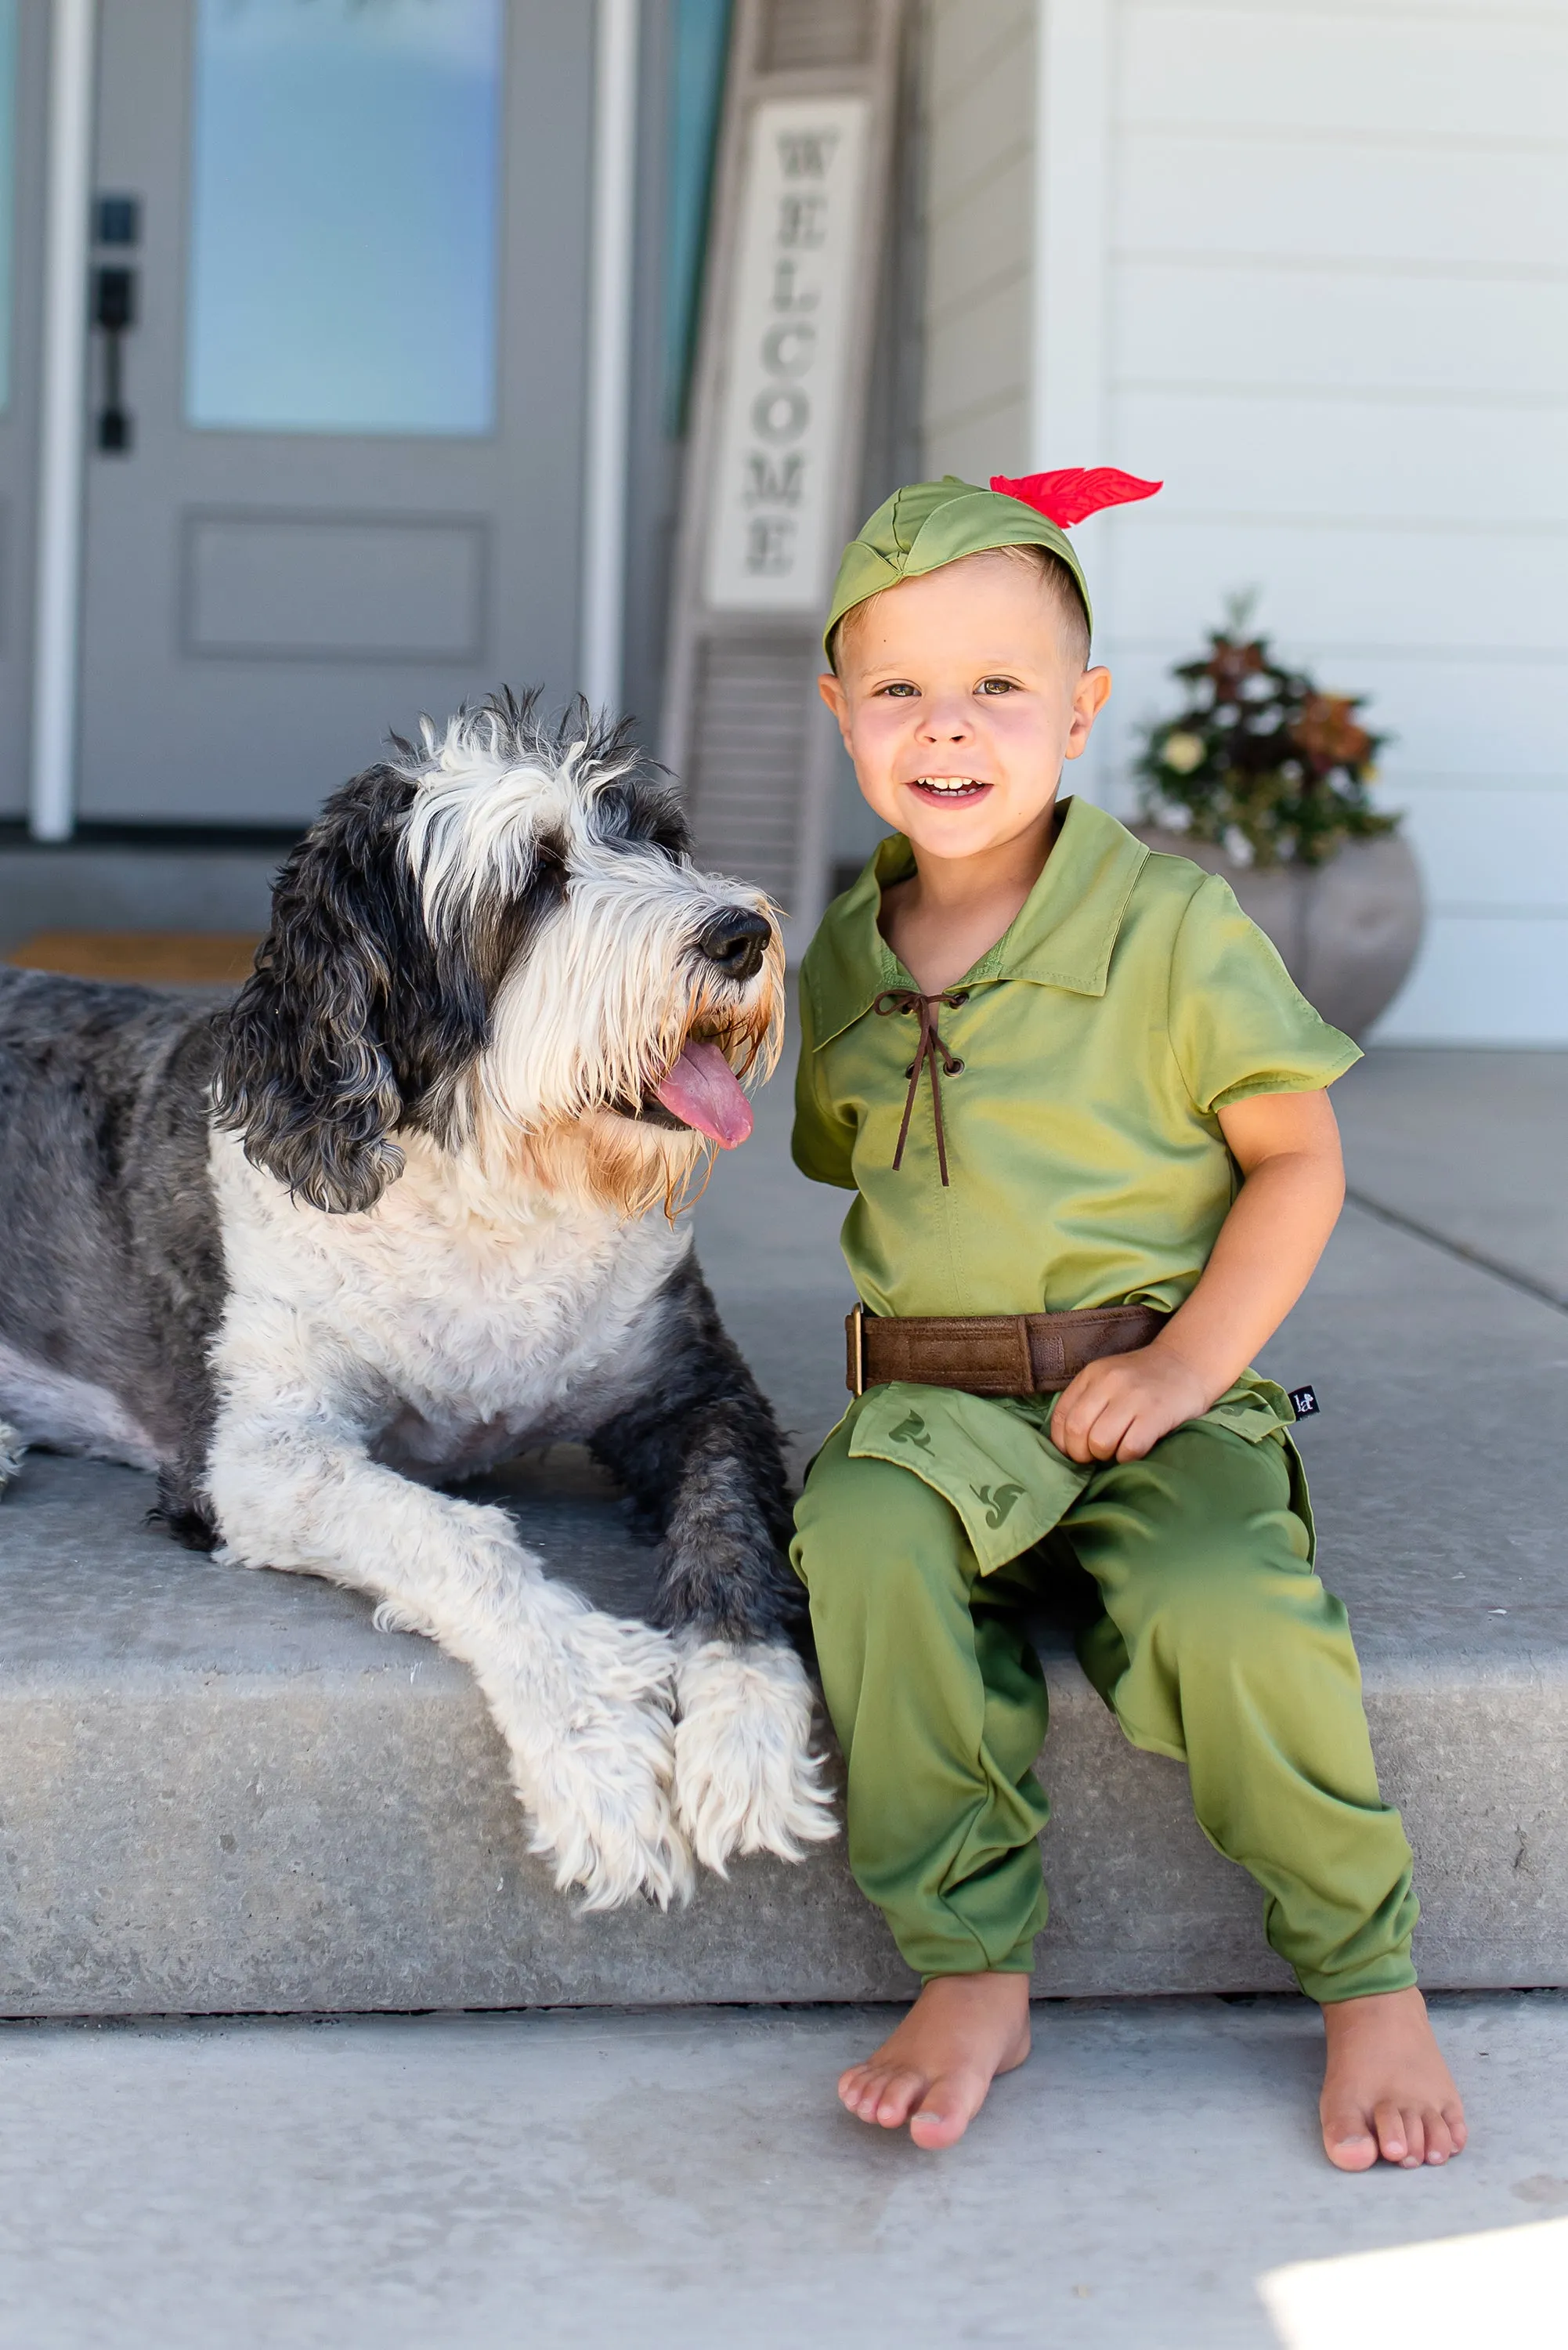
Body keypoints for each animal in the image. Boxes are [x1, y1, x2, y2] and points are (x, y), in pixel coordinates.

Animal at [0, 691, 841, 1908]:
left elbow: (731, 1523)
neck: (494, 1187)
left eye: (662, 840)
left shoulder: (692, 1387)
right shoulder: (259, 1456)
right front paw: (592, 1743)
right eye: (533, 881)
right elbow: (458, 1536)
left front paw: (746, 1731)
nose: (741, 934)